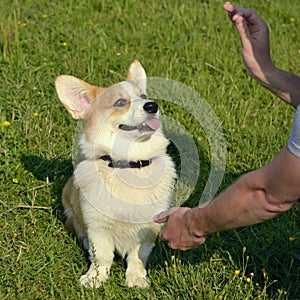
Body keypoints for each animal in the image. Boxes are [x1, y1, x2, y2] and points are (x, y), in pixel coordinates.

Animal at [54, 61, 176, 288]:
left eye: (144, 95)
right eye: (120, 102)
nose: (152, 105)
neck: (128, 165)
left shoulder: (148, 228)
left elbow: (138, 256)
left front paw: (136, 278)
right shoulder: (98, 226)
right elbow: (102, 255)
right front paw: (95, 278)